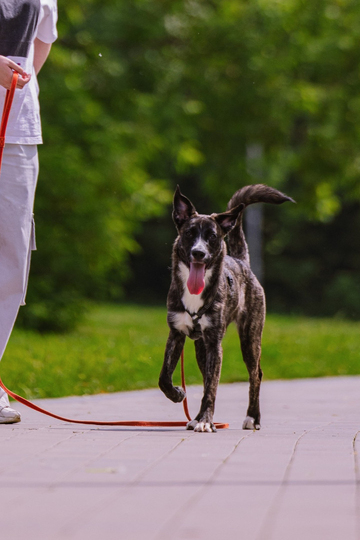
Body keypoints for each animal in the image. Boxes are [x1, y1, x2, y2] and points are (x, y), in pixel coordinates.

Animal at [159, 184, 294, 432]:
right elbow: (164, 376)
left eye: (212, 236)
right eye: (189, 233)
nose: (198, 253)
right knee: (206, 378)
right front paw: (178, 394)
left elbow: (212, 387)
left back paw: (252, 418)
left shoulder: (215, 343)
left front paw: (206, 420)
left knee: (256, 374)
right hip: (201, 347)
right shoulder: (176, 333)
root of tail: (242, 262)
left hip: (250, 337)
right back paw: (197, 417)